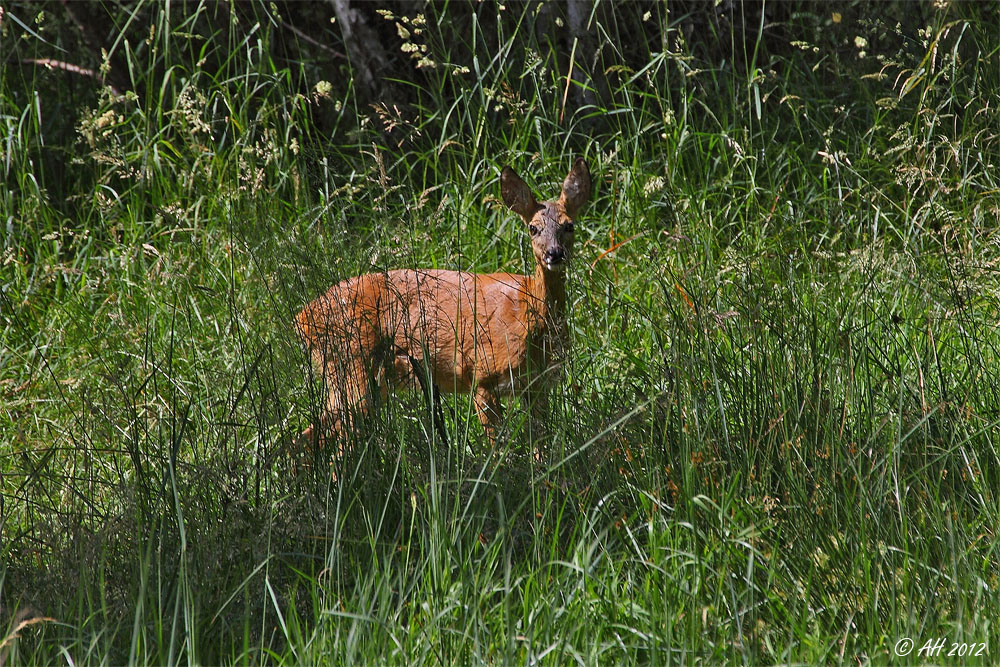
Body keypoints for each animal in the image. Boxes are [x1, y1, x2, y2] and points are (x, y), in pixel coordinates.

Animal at [292, 158, 588, 470]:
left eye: (569, 225)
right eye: (533, 228)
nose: (554, 254)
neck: (528, 316)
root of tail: (304, 317)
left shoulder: (539, 384)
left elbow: (540, 445)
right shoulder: (481, 374)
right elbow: (498, 450)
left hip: (356, 379)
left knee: (306, 438)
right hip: (352, 363)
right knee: (337, 446)